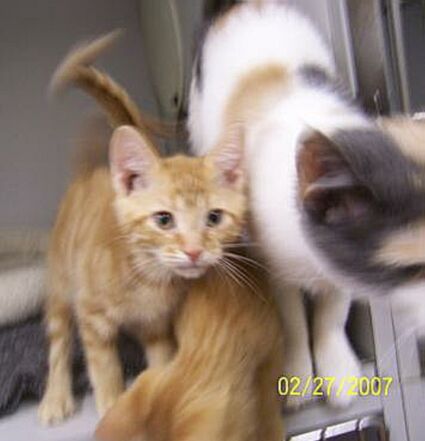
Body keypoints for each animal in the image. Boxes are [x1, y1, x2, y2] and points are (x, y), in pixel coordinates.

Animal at [39, 33, 251, 425]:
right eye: (164, 220)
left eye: (214, 218)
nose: (194, 251)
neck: (148, 277)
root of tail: (88, 172)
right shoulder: (93, 321)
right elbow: (104, 370)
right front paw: (111, 406)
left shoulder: (157, 329)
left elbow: (162, 363)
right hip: (61, 284)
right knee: (58, 341)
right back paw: (56, 396)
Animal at [188, 1, 425, 408]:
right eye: (415, 268)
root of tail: (240, 6)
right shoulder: (273, 265)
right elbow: (293, 319)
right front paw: (297, 373)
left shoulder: (337, 267)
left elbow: (332, 312)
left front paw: (337, 369)